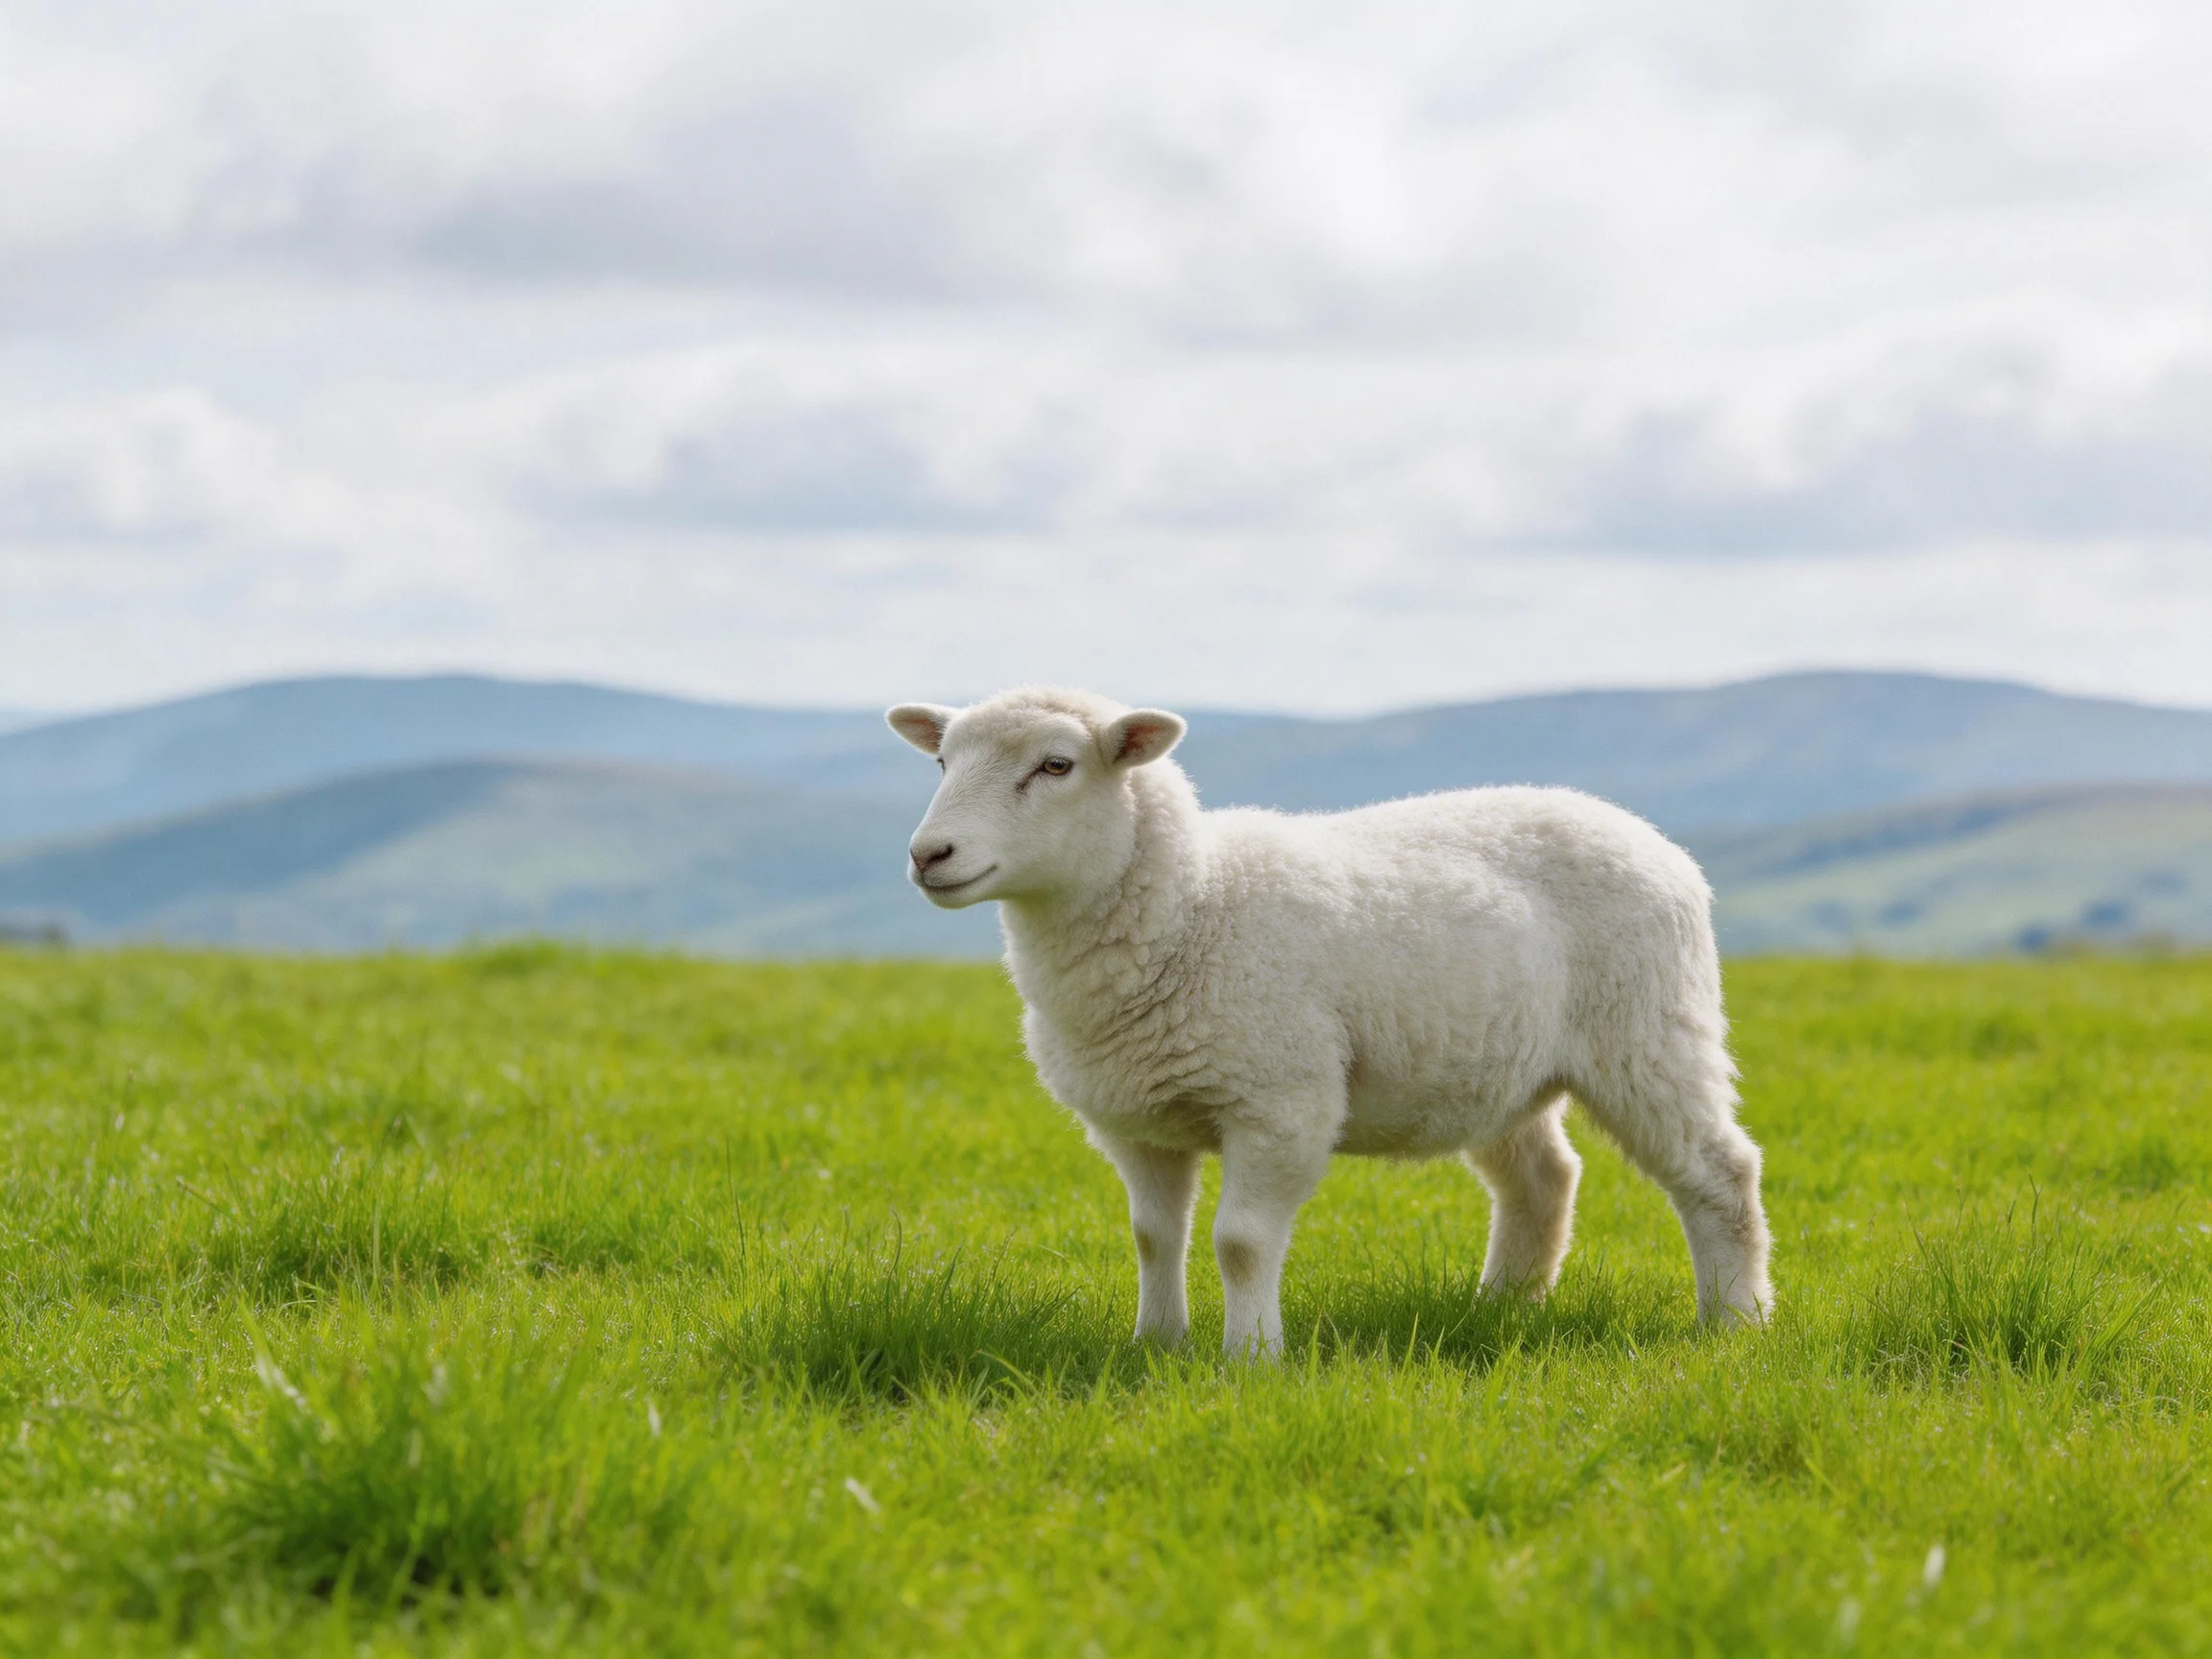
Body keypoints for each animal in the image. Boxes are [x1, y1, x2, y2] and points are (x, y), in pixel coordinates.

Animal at [886, 686, 1771, 1356]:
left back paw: (1735, 1321)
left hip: (1650, 1032)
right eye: (941, 762)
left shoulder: (1281, 1100)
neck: (1193, 902)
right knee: (1544, 1180)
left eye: (1056, 764)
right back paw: (1501, 1307)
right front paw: (1157, 1345)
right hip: (1498, 1067)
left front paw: (1248, 1358)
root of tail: (1648, 837)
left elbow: (1240, 1241)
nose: (929, 855)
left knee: (1720, 1173)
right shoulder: (1135, 1120)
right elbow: (1152, 1236)